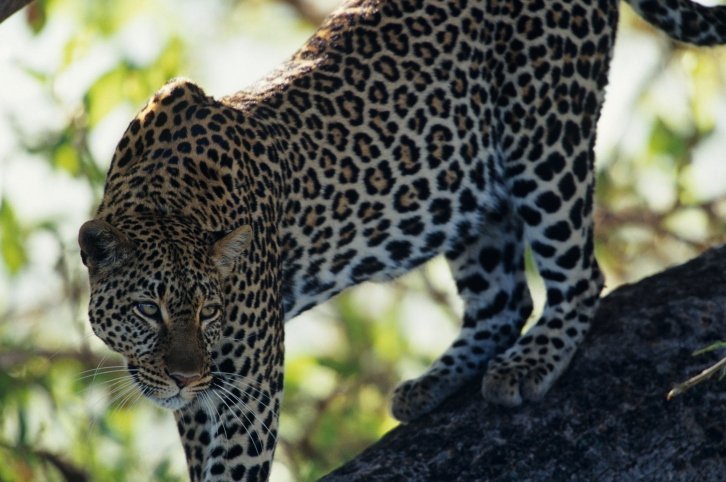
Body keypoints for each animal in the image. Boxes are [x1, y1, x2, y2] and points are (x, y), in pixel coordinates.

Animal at [78, 0, 726, 480]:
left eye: (209, 312)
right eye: (148, 309)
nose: (186, 377)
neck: (164, 197)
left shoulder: (250, 380)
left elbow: (233, 463)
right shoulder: (207, 392)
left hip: (543, 134)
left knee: (578, 275)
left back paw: (529, 364)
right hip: (469, 185)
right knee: (503, 300)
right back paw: (431, 385)